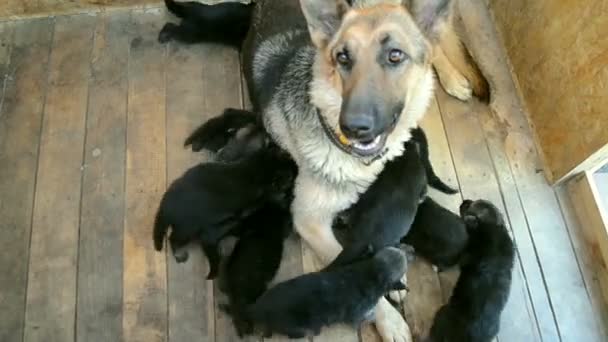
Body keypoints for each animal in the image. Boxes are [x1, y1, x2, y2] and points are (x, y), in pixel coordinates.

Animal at [151, 146, 294, 280]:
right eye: (289, 175)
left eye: (288, 157)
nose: (295, 166)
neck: (257, 168)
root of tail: (165, 204)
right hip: (187, 228)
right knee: (173, 238)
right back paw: (179, 253)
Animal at [233, 246, 408, 340]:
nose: (410, 249)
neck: (371, 272)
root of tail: (258, 308)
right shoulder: (357, 312)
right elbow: (362, 317)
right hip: (295, 327)